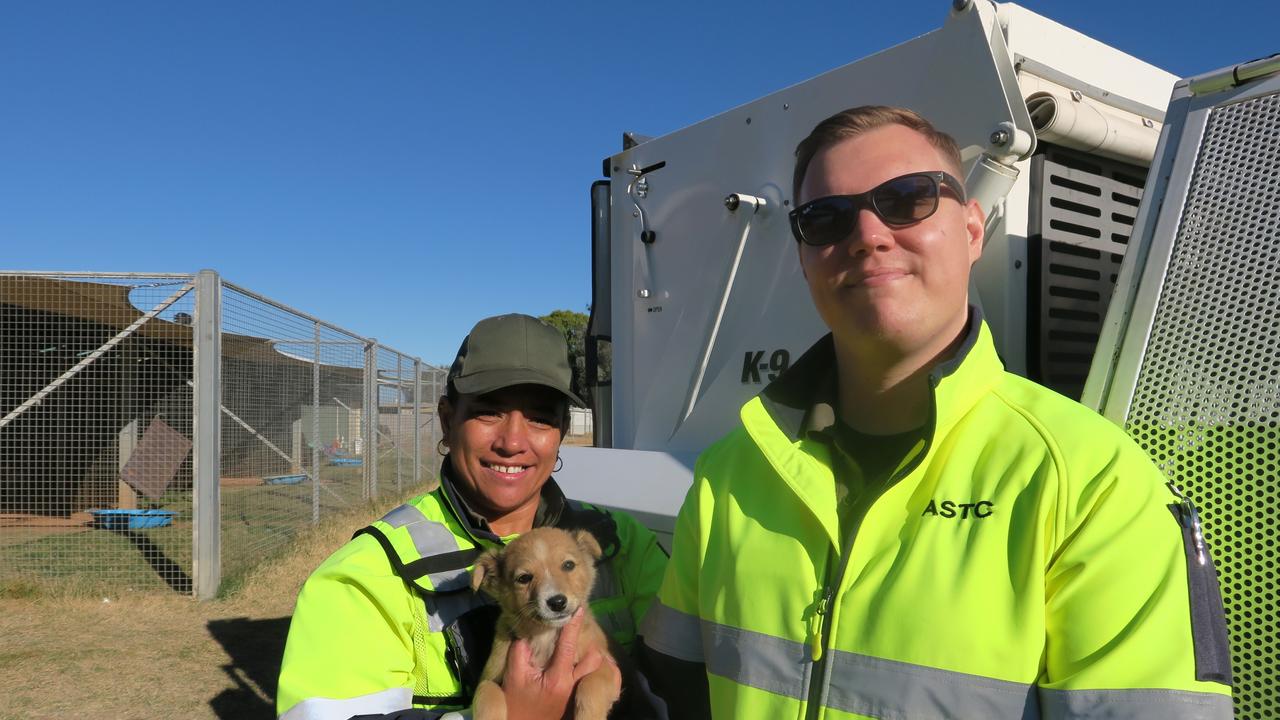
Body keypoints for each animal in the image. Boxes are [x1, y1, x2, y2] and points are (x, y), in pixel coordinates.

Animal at [471, 525, 619, 712]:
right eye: (524, 578)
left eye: (568, 565)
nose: (557, 603)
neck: (545, 635)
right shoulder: (488, 677)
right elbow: (488, 694)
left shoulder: (606, 664)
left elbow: (591, 684)